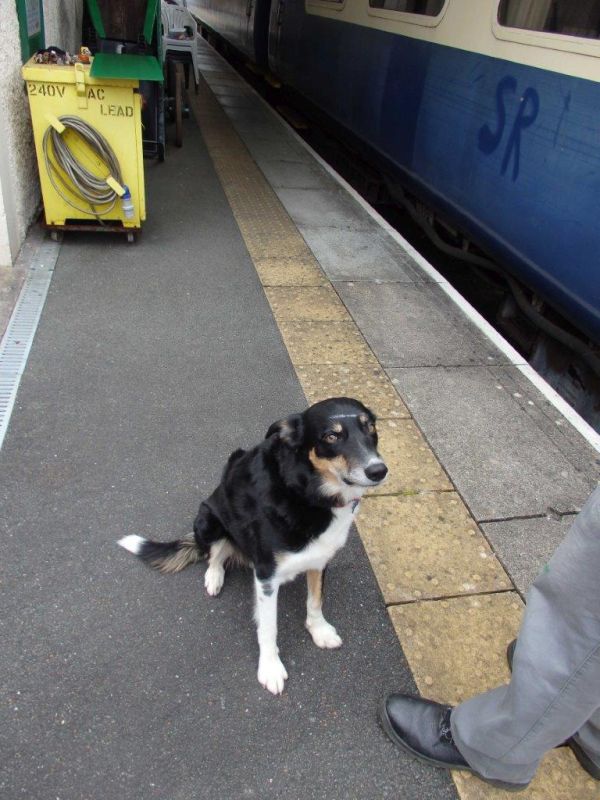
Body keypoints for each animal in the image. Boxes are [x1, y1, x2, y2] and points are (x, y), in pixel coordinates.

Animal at [119, 398, 386, 692]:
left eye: (370, 427)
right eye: (331, 436)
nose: (378, 470)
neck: (307, 492)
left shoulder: (319, 558)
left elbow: (315, 600)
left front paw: (319, 631)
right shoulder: (266, 575)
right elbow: (268, 627)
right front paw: (270, 668)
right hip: (210, 520)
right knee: (213, 556)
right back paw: (214, 578)